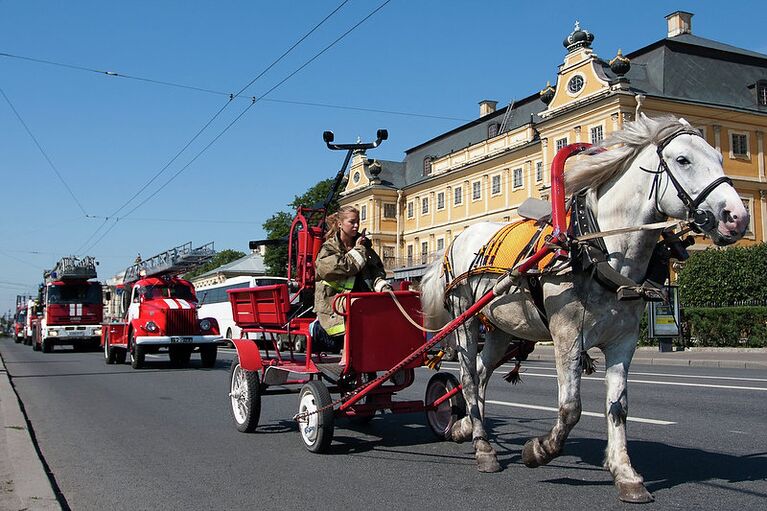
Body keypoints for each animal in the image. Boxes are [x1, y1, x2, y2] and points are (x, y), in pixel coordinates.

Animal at [420, 114, 752, 502]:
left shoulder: (624, 341)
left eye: (720, 156)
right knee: (469, 379)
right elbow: (570, 408)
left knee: (482, 374)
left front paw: (625, 473)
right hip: (465, 324)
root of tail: (458, 238)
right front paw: (539, 450)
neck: (597, 249)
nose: (737, 217)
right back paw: (484, 448)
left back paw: (468, 428)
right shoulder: (567, 338)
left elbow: (618, 408)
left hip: (501, 329)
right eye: (683, 160)